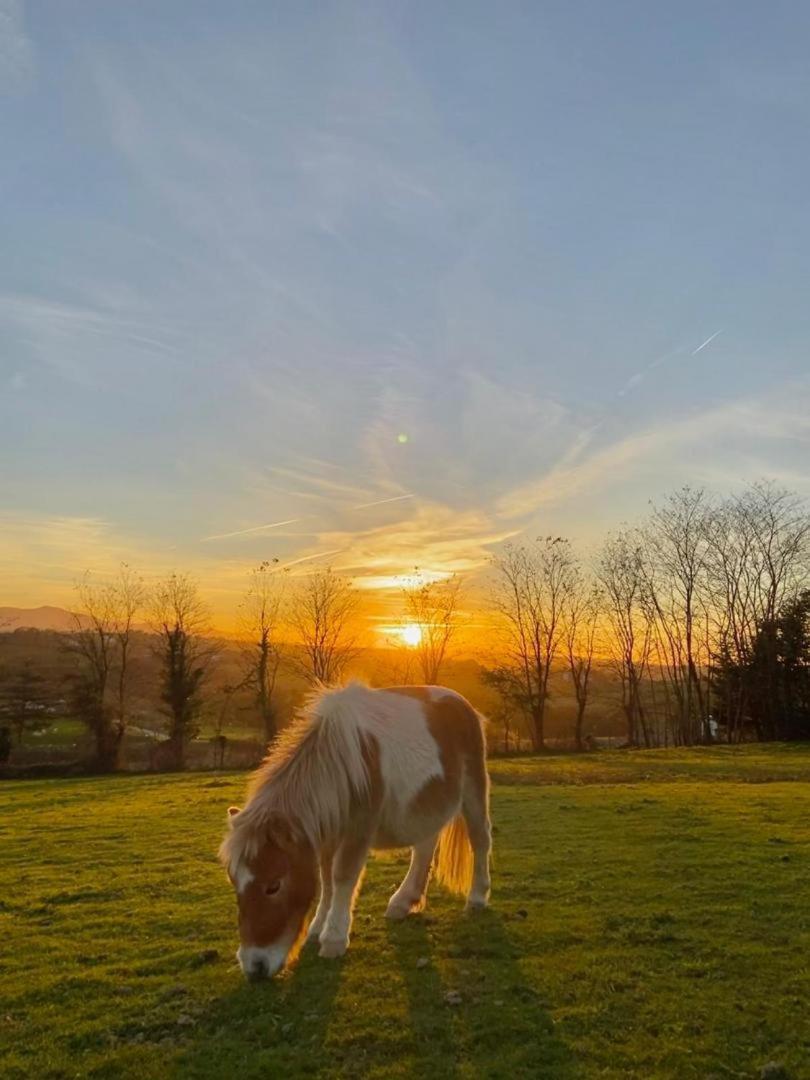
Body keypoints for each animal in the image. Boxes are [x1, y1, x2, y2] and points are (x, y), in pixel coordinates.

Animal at [219, 682, 492, 980]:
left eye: (273, 886)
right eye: (234, 882)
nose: (254, 967)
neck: (341, 762)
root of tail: (461, 703)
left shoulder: (357, 830)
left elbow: (342, 876)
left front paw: (334, 939)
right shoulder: (327, 834)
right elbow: (326, 879)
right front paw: (318, 927)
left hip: (473, 789)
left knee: (480, 839)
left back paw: (477, 898)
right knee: (424, 848)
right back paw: (403, 901)